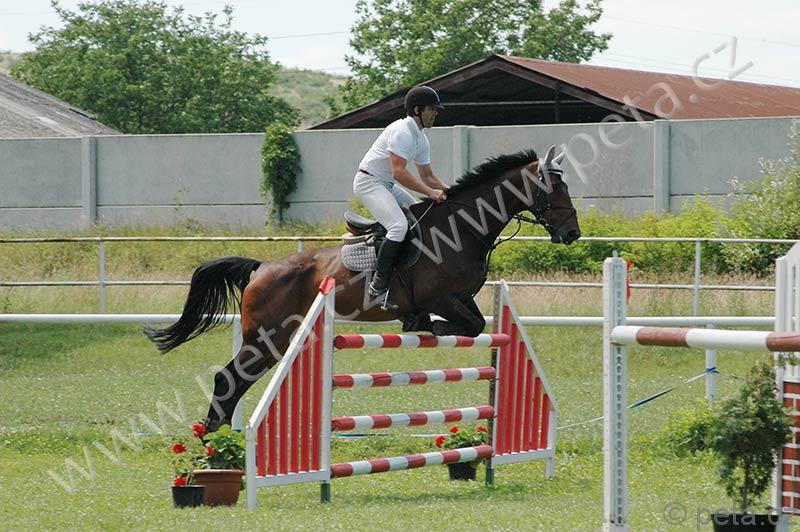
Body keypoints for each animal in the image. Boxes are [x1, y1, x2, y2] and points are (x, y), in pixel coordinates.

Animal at [144, 145, 581, 431]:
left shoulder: (463, 298)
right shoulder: (441, 297)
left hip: (276, 342)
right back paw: (211, 441)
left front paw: (425, 325)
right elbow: (466, 326)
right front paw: (428, 325)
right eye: (555, 189)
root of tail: (260, 269)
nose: (572, 233)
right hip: (266, 339)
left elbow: (475, 325)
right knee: (227, 379)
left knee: (234, 382)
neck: (464, 227)